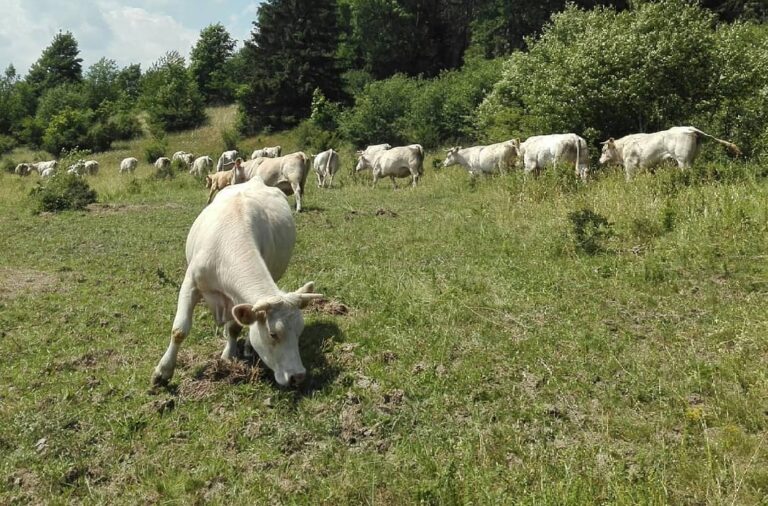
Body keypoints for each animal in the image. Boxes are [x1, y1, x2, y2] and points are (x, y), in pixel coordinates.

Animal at [150, 175, 320, 388]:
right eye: (273, 334)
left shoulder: (238, 299)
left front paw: (227, 356)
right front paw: (162, 372)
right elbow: (179, 330)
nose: (298, 376)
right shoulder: (190, 284)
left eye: (300, 331)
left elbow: (235, 327)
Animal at [596, 125, 740, 181]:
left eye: (604, 150)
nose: (599, 161)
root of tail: (690, 129)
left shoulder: (630, 164)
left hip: (683, 160)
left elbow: (629, 178)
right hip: (692, 158)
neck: (623, 147)